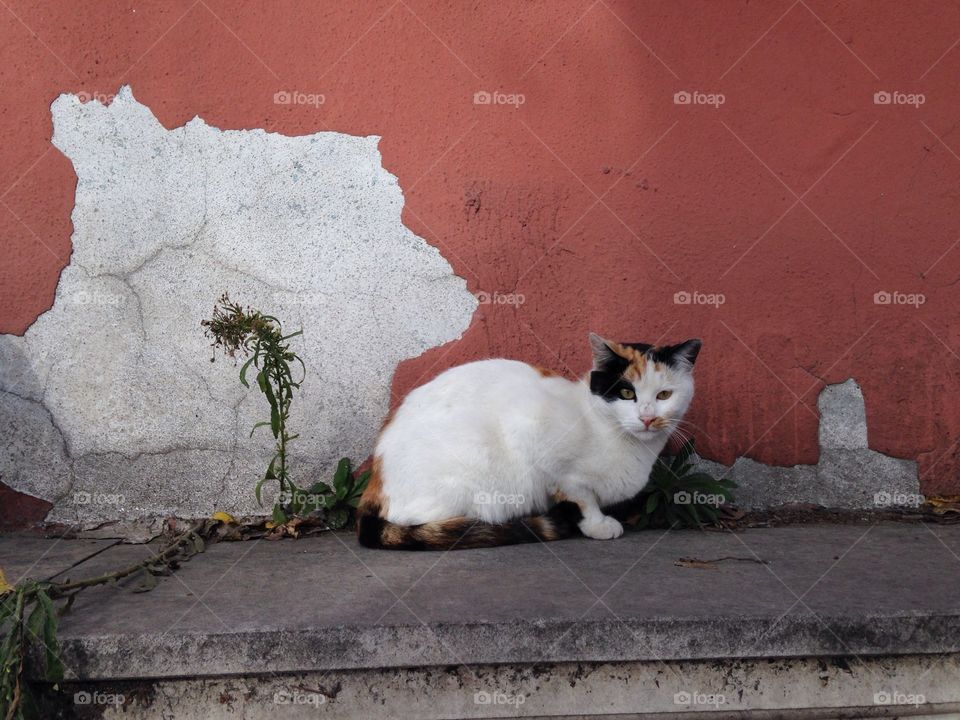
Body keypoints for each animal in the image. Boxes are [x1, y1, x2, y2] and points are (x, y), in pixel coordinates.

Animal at [356, 334, 700, 548]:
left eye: (664, 395)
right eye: (627, 393)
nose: (647, 418)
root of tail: (376, 477)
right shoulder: (530, 428)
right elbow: (581, 496)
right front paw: (597, 523)